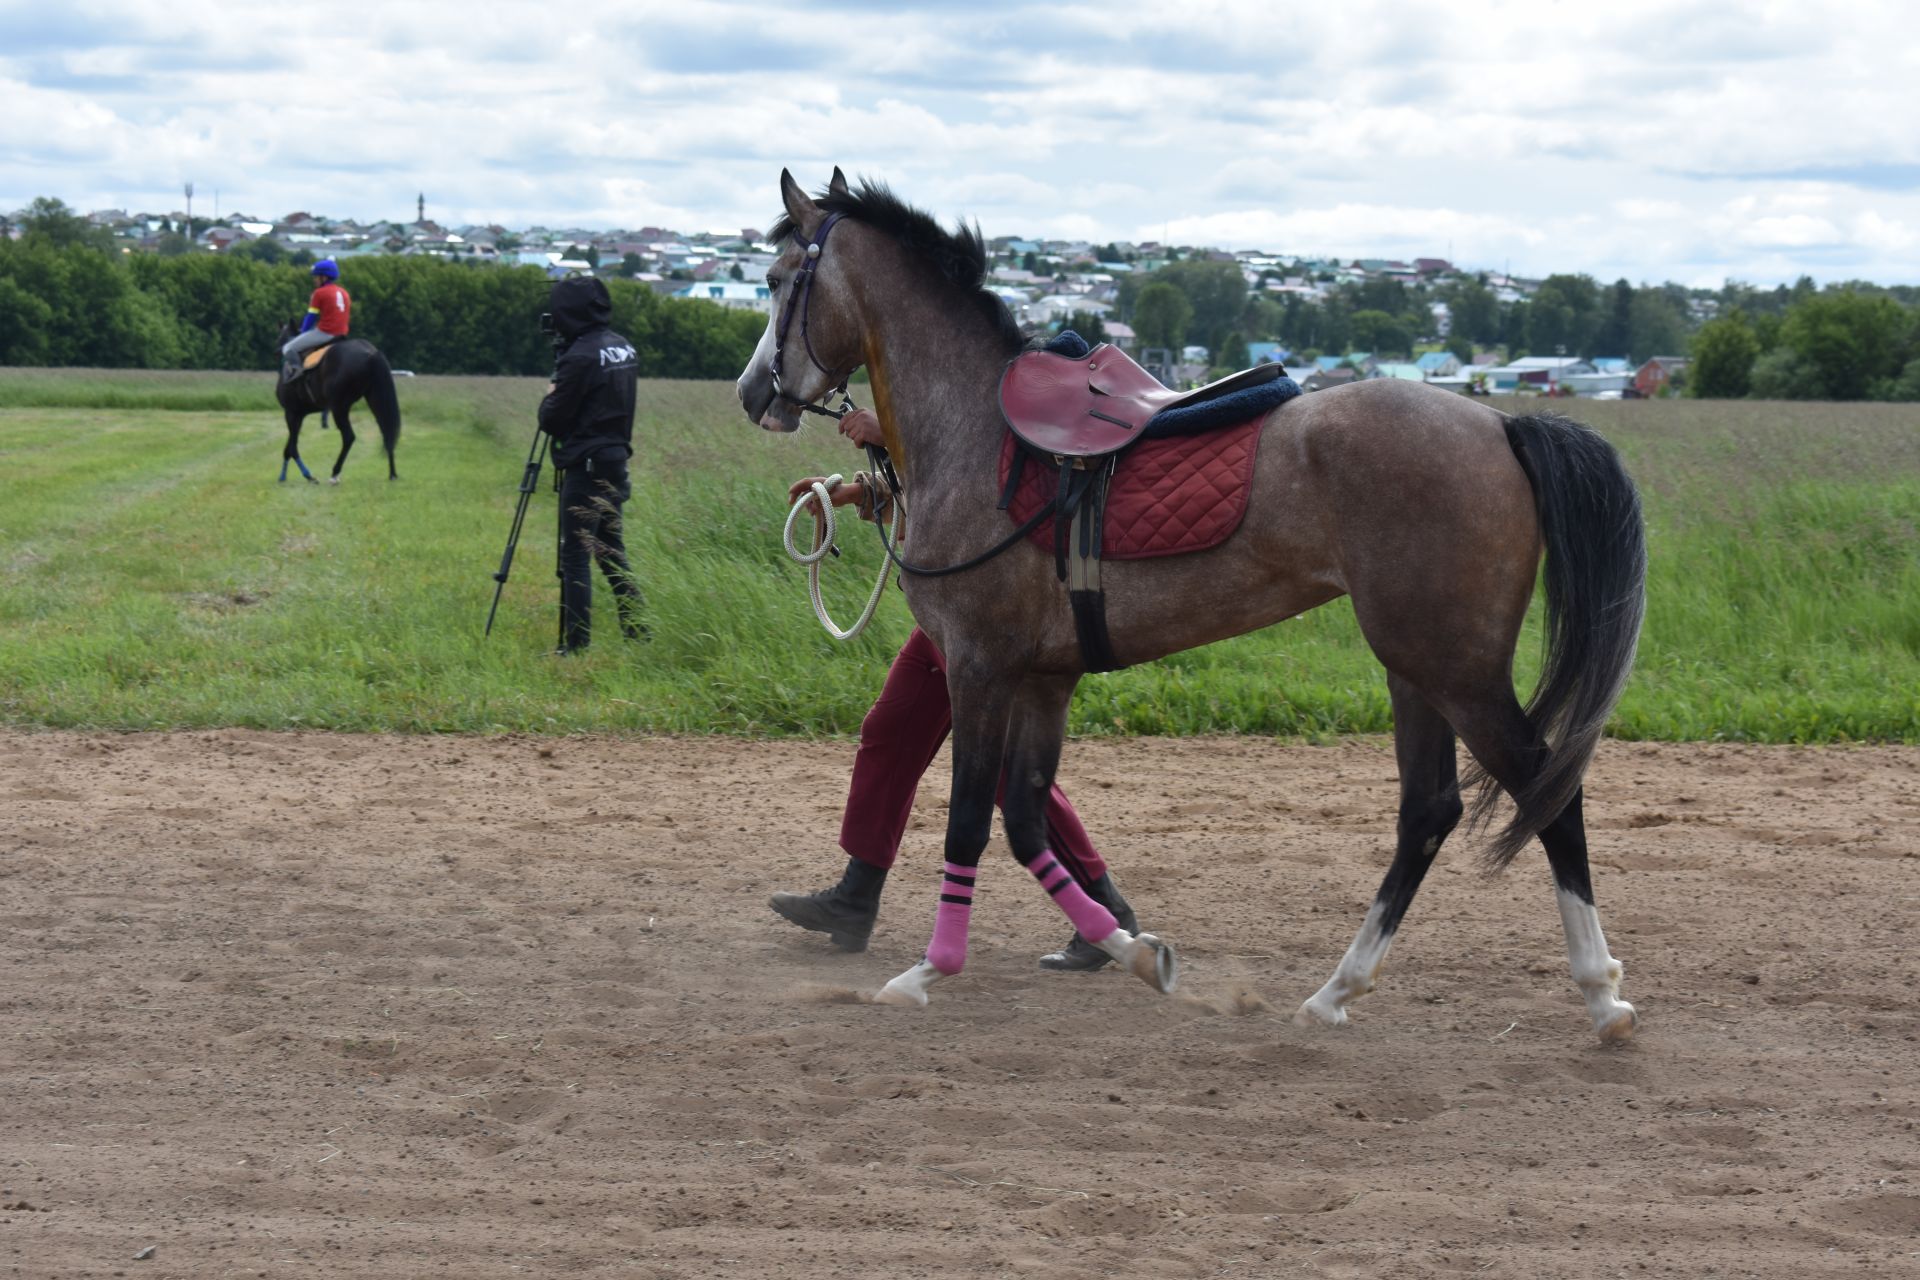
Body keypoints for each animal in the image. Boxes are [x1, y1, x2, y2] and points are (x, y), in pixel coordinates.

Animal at [272, 322, 399, 483]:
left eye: (279, 337)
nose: (276, 350)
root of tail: (371, 353)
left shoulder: (291, 412)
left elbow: (292, 448)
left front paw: (307, 475)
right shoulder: (299, 414)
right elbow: (289, 447)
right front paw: (284, 476)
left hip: (339, 407)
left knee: (349, 437)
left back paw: (335, 473)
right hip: (374, 399)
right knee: (386, 430)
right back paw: (392, 473)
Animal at [733, 169, 1651, 1043]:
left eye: (777, 279)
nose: (750, 392)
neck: (976, 434)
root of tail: (1502, 425)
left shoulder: (979, 666)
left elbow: (968, 821)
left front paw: (932, 969)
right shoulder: (1045, 679)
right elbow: (1026, 818)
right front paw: (1134, 951)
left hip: (1454, 669)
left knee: (1546, 789)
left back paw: (1601, 996)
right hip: (1415, 668)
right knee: (1429, 810)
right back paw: (1335, 993)